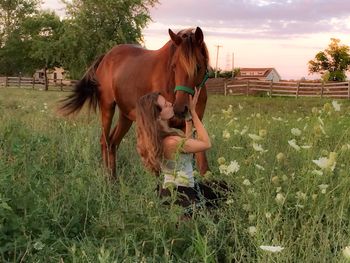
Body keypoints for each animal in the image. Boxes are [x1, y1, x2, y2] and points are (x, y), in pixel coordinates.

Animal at [59, 26, 211, 178]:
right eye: (173, 66)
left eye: (198, 67)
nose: (180, 109)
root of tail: (106, 56)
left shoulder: (191, 128)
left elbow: (203, 166)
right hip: (107, 108)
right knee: (104, 141)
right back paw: (107, 178)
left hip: (125, 116)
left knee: (113, 142)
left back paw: (114, 178)